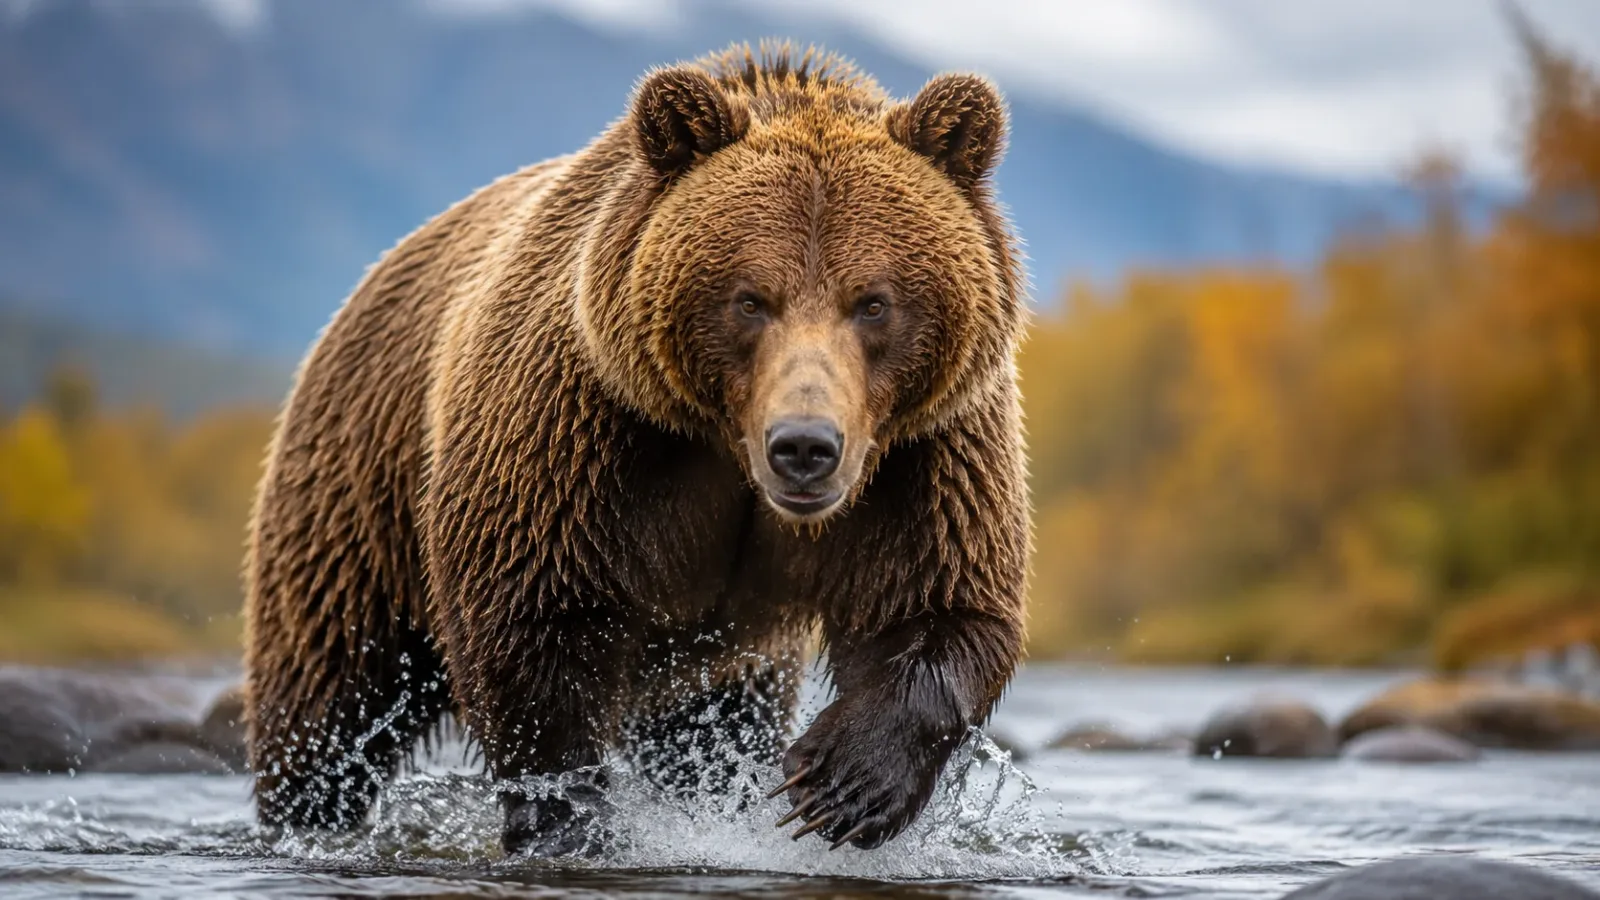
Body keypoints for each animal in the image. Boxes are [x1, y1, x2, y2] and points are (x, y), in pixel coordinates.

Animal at [244, 42, 1030, 856]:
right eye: (751, 299)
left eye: (873, 302)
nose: (804, 446)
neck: (727, 446)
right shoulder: (579, 434)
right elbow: (532, 623)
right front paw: (567, 817)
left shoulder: (925, 453)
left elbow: (937, 602)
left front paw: (841, 781)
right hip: (360, 490)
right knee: (332, 697)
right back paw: (308, 811)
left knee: (712, 730)